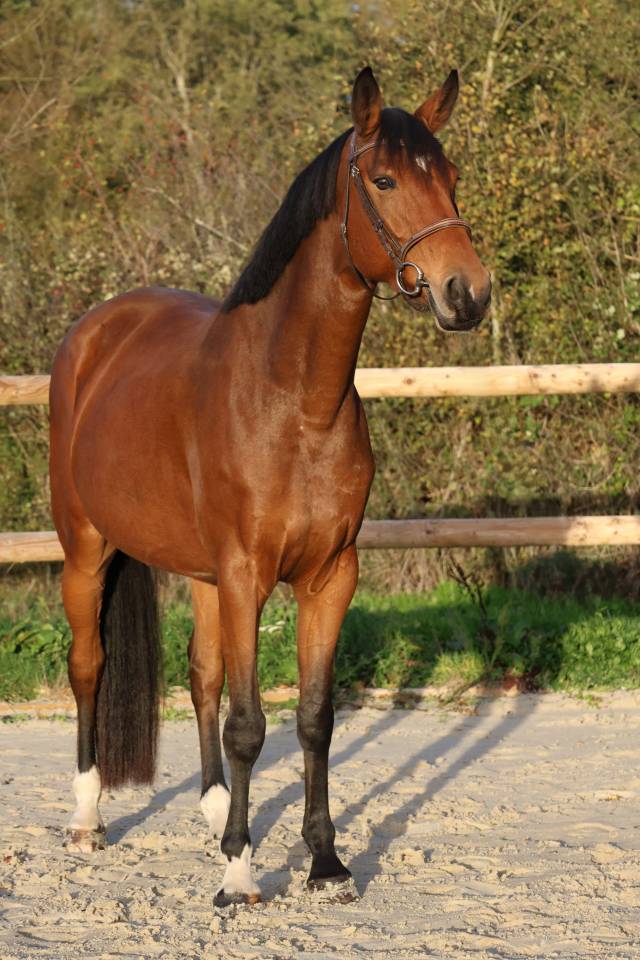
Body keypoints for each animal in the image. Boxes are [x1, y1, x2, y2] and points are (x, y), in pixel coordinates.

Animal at [49, 66, 491, 905]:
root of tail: (94, 331)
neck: (293, 401)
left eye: (452, 176)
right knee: (90, 665)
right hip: (88, 550)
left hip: (199, 573)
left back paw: (213, 806)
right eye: (384, 180)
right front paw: (240, 872)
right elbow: (251, 723)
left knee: (201, 675)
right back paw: (87, 820)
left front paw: (326, 864)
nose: (469, 294)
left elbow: (313, 718)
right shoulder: (247, 573)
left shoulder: (328, 576)